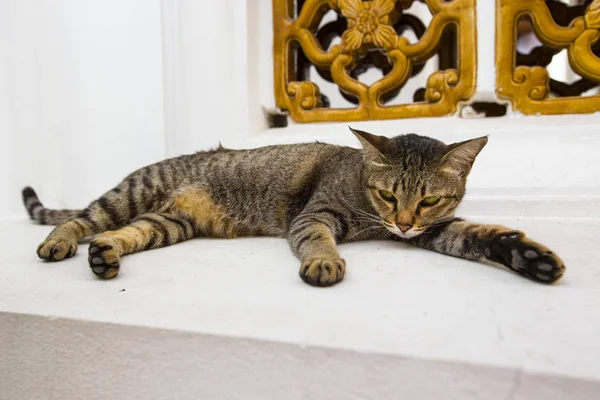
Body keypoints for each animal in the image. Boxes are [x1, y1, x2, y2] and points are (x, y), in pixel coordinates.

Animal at [23, 126, 564, 286]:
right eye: (388, 195)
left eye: (428, 200)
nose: (403, 223)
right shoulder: (314, 214)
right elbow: (316, 238)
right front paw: (324, 261)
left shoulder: (436, 228)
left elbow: (478, 236)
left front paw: (527, 256)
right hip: (130, 194)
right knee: (82, 219)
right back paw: (58, 243)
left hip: (167, 223)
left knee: (118, 234)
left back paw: (105, 254)